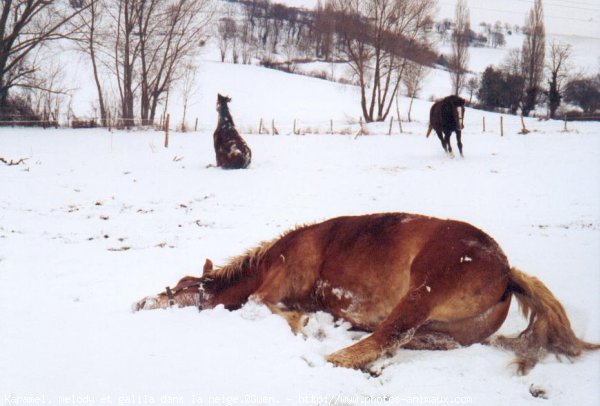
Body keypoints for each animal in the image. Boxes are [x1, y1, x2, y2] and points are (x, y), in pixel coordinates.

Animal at [134, 213, 596, 374]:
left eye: (180, 289)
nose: (140, 302)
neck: (273, 259)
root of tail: (506, 271)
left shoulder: (276, 286)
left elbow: (261, 305)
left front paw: (305, 325)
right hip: (450, 327)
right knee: (418, 339)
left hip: (424, 290)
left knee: (388, 336)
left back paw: (331, 357)